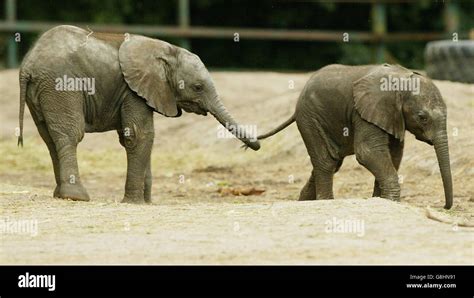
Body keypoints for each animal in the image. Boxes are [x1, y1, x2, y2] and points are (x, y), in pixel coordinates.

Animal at [18, 25, 262, 204]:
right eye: (198, 87)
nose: (256, 144)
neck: (166, 50)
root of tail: (27, 66)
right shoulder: (133, 90)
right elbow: (139, 135)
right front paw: (134, 203)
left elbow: (145, 137)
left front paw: (147, 203)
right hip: (60, 86)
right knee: (70, 134)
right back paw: (76, 197)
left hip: (42, 91)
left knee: (49, 137)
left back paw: (61, 194)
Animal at [258, 63, 454, 210]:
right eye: (422, 117)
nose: (444, 207)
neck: (402, 79)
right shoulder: (365, 111)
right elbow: (368, 152)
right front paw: (390, 201)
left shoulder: (392, 117)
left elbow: (394, 155)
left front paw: (381, 200)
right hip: (309, 118)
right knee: (326, 162)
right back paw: (326, 201)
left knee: (331, 163)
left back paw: (304, 202)